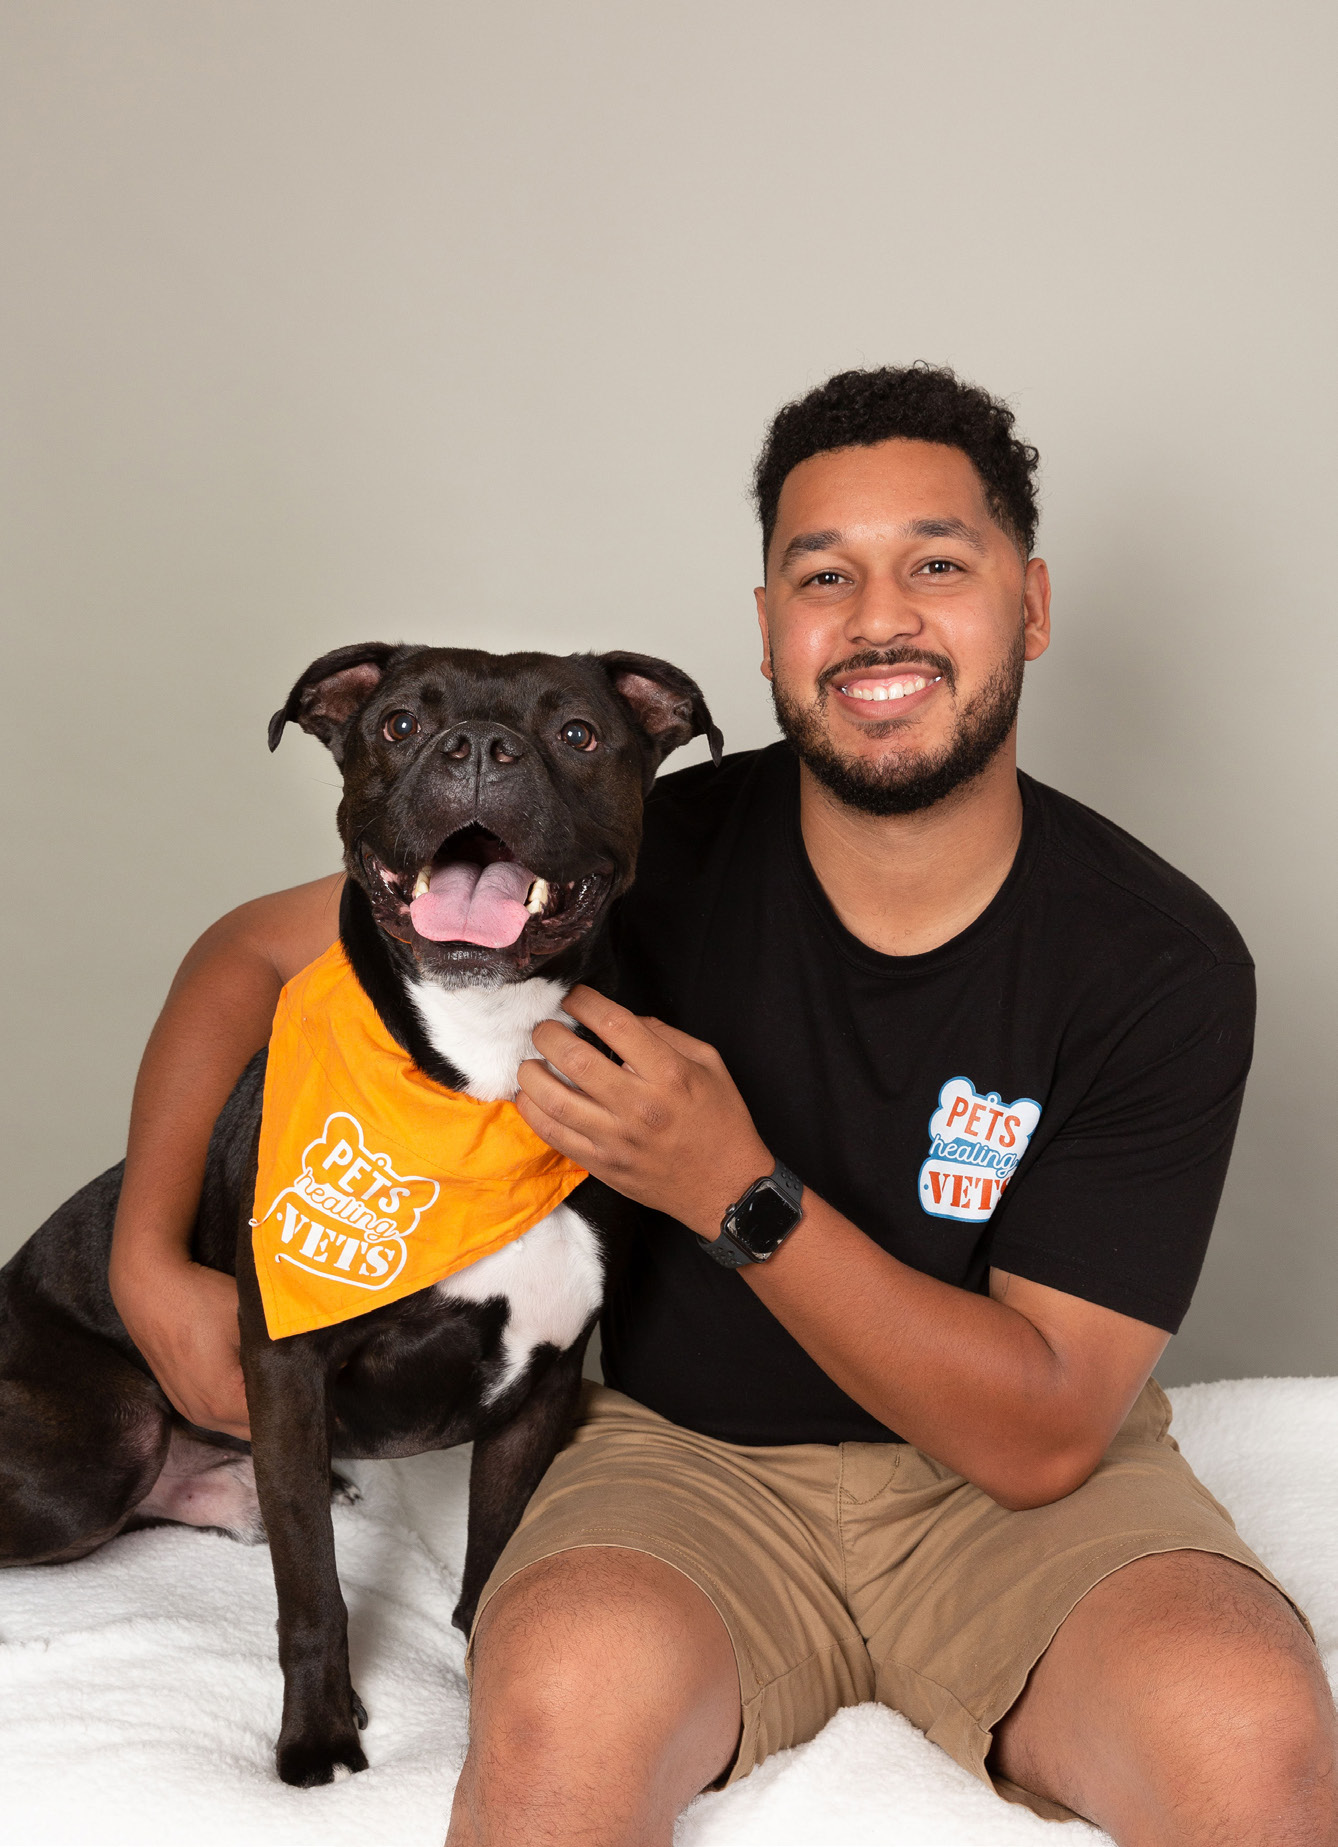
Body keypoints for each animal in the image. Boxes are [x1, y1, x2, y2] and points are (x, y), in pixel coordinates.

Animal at [0, 640, 720, 1787]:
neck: (478, 1076)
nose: (478, 746)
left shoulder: (543, 1384)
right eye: (398, 724)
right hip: (98, 1448)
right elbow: (313, 1590)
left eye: (577, 733)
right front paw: (318, 1733)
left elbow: (494, 1558)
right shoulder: (287, 1370)